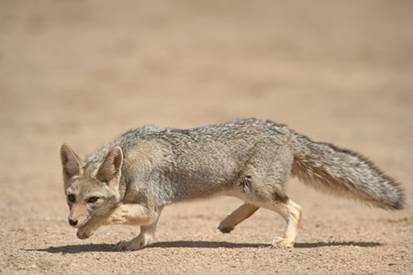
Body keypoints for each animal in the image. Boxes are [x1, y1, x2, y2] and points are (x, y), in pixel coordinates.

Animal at [59, 117, 404, 251]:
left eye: (92, 200)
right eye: (70, 197)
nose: (71, 220)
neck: (129, 159)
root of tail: (284, 130)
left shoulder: (151, 204)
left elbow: (114, 213)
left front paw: (88, 229)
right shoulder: (152, 209)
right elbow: (146, 235)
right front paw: (132, 244)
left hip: (256, 188)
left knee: (295, 207)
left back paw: (286, 241)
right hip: (243, 187)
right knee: (260, 205)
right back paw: (228, 222)